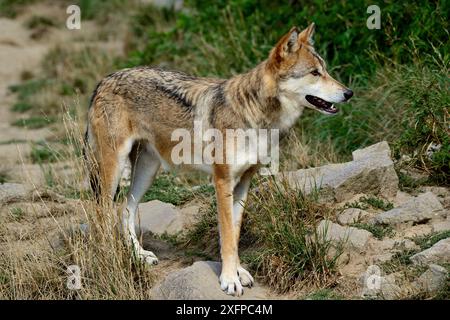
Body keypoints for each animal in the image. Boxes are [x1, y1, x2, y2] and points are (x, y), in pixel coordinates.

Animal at [83, 22, 352, 296]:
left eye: (325, 70)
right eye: (315, 73)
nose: (349, 93)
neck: (255, 117)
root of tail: (103, 81)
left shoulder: (244, 183)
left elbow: (234, 232)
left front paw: (238, 272)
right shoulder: (222, 181)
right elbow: (227, 235)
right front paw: (229, 280)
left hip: (147, 170)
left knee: (125, 210)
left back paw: (139, 255)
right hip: (113, 169)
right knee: (101, 214)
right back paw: (111, 258)